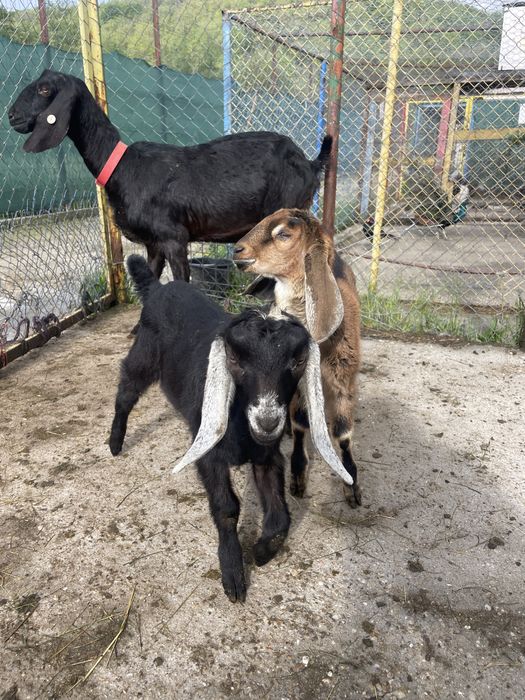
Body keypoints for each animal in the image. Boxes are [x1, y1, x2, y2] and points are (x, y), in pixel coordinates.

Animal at [9, 70, 332, 282]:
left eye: (45, 90)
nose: (12, 116)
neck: (123, 168)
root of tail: (309, 162)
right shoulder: (153, 244)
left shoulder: (174, 238)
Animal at [109, 254, 352, 602]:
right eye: (235, 360)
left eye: (296, 362)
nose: (267, 421)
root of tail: (158, 288)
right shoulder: (209, 454)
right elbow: (226, 508)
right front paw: (233, 574)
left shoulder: (267, 455)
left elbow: (280, 515)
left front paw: (261, 552)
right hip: (143, 356)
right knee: (126, 390)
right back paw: (115, 443)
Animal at [233, 209, 362, 507]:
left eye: (283, 233)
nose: (237, 250)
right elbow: (302, 422)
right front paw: (298, 476)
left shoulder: (343, 375)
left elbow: (343, 432)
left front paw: (351, 484)